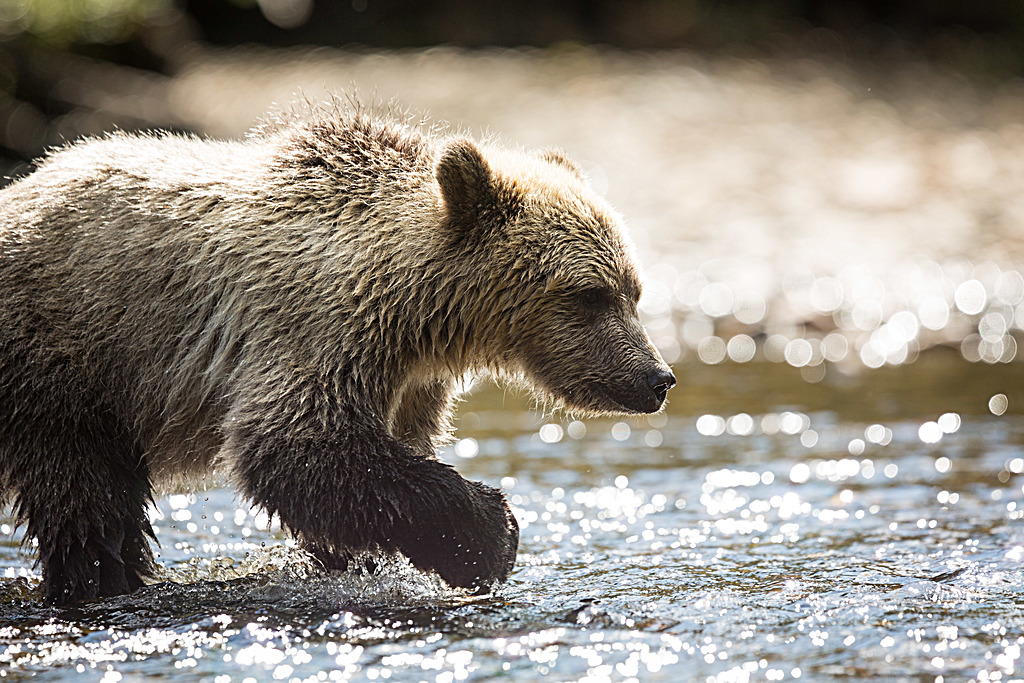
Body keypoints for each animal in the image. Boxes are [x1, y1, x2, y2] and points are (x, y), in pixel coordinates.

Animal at [0, 100, 675, 602]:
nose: (657, 377)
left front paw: (354, 559)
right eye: (590, 294)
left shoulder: (408, 379)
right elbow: (296, 445)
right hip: (65, 360)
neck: (418, 310)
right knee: (86, 496)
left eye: (634, 291)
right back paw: (102, 580)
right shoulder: (317, 325)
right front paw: (489, 535)